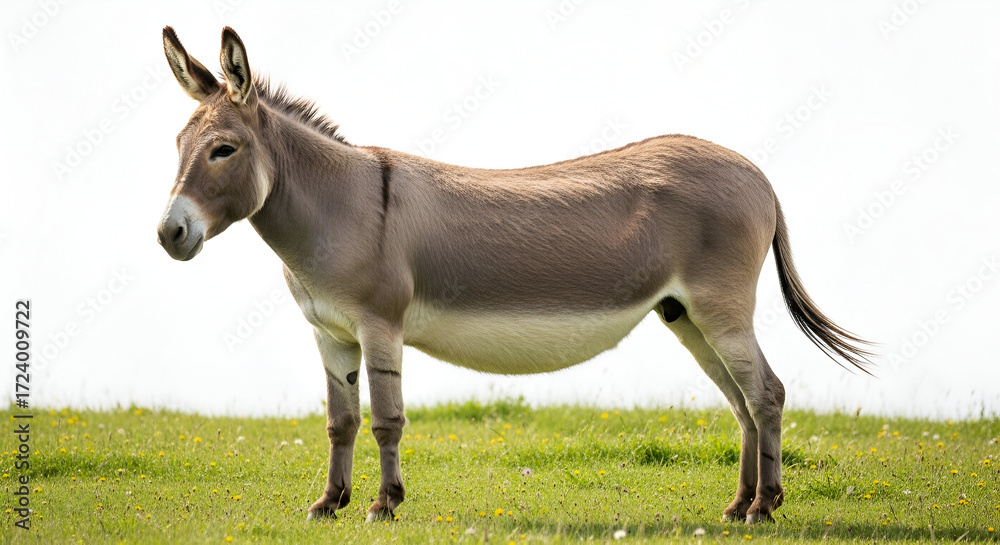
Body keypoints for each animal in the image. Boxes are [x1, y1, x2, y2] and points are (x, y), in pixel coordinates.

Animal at [156, 26, 872, 524]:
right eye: (178, 146)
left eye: (224, 150)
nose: (169, 234)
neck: (338, 206)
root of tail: (757, 172)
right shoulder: (329, 335)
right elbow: (340, 422)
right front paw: (328, 504)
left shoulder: (379, 326)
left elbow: (387, 419)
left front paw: (384, 504)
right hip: (685, 314)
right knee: (742, 401)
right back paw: (738, 505)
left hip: (721, 307)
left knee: (767, 393)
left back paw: (765, 507)